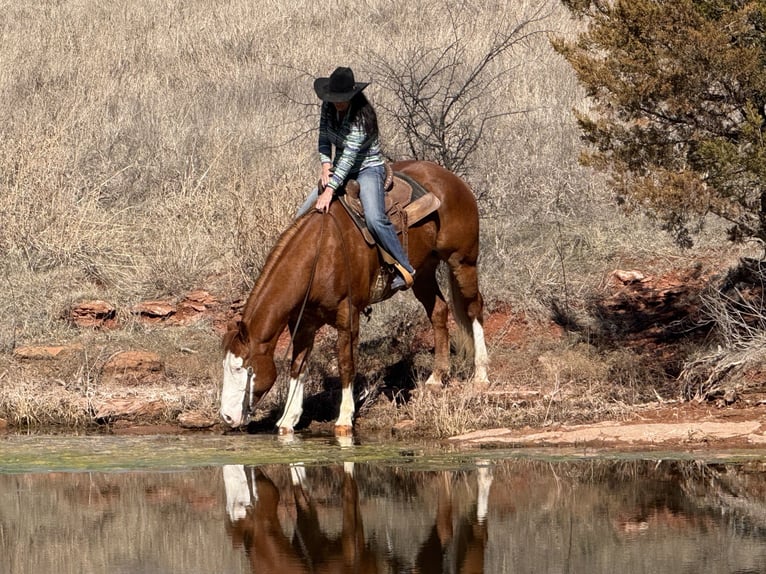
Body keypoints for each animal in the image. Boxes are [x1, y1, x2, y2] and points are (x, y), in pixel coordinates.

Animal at [219, 160, 489, 434]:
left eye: (241, 368)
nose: (228, 417)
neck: (320, 255)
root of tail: (451, 179)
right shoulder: (304, 321)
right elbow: (298, 366)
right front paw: (288, 419)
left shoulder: (348, 315)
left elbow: (346, 363)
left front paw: (344, 418)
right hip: (423, 271)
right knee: (438, 311)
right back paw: (436, 378)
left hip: (462, 261)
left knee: (473, 308)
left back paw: (481, 375)